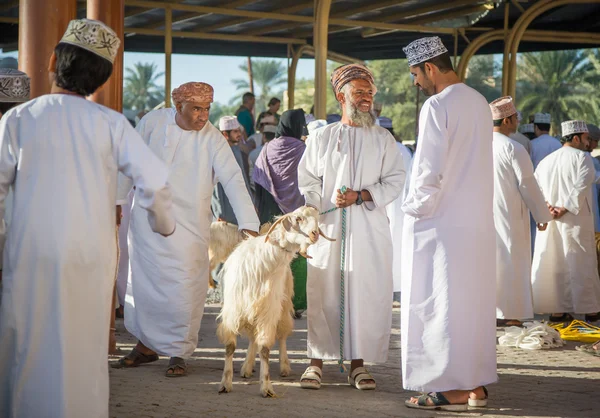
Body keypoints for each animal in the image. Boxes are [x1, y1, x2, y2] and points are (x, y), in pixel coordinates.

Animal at [218, 207, 336, 396]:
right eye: (298, 218)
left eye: (318, 219)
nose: (315, 234)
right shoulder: (232, 311)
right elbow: (230, 346)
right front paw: (225, 383)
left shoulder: (268, 312)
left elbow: (265, 349)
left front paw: (266, 387)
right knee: (253, 338)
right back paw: (247, 367)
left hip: (283, 306)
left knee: (281, 336)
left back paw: (284, 366)